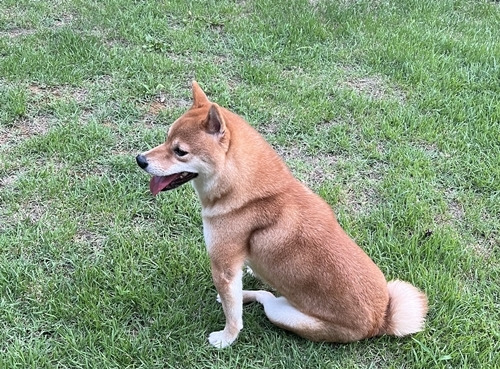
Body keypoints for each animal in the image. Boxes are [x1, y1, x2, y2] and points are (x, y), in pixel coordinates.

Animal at [137, 80, 430, 348]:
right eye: (166, 138)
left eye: (180, 151)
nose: (140, 159)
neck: (245, 189)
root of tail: (380, 321)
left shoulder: (224, 268)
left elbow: (233, 315)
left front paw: (227, 338)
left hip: (281, 313)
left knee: (266, 299)